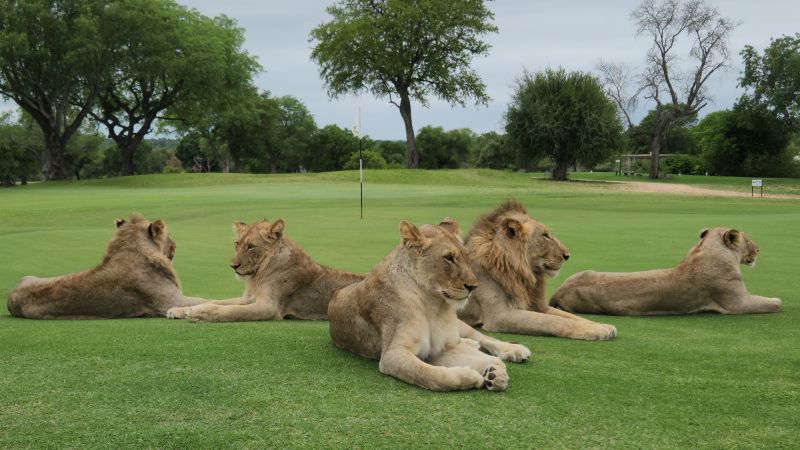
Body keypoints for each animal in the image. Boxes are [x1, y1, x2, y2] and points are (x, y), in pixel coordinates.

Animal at [169, 219, 362, 322]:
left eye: (251, 246)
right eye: (237, 244)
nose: (233, 266)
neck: (257, 276)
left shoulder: (269, 307)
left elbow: (232, 310)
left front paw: (201, 313)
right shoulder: (248, 298)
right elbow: (220, 301)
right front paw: (181, 310)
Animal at [328, 218, 536, 390]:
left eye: (465, 256)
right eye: (448, 258)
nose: (473, 287)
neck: (434, 303)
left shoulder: (441, 348)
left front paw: (494, 371)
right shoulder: (394, 355)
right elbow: (432, 375)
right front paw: (472, 377)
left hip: (461, 325)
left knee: (484, 338)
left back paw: (512, 351)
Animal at [456, 200, 620, 342]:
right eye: (545, 235)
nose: (567, 255)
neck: (524, 275)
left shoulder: (538, 305)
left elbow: (570, 316)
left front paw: (601, 325)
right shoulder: (500, 315)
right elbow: (553, 321)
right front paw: (595, 330)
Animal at [552, 227, 780, 314]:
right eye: (748, 240)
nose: (758, 249)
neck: (706, 249)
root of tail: (557, 292)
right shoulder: (737, 303)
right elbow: (773, 304)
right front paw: (777, 299)